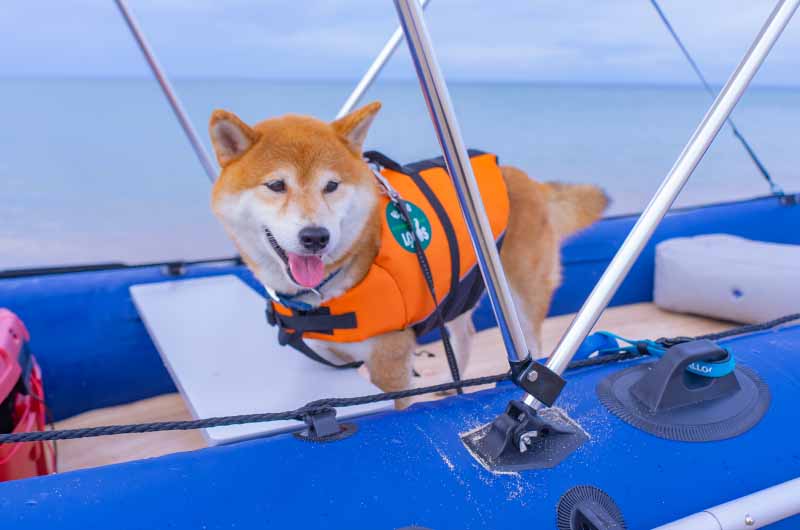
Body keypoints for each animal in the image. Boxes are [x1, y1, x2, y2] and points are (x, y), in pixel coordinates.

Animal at [209, 101, 608, 398]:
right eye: (276, 185)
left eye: (331, 185)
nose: (315, 237)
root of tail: (528, 180)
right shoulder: (326, 358)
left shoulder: (391, 368)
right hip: (457, 290)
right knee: (466, 335)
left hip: (520, 295)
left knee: (534, 344)